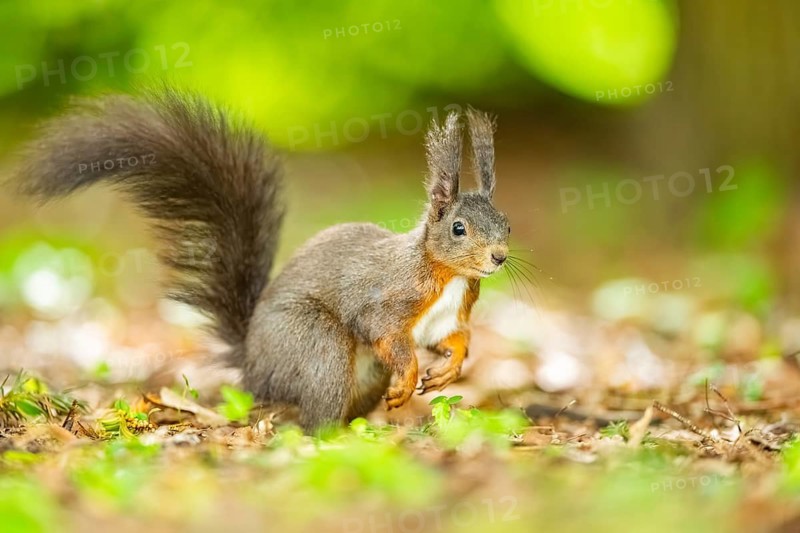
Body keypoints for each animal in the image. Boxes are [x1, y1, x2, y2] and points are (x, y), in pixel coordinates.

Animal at [12, 87, 511, 431]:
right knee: (315, 413)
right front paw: (409, 378)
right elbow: (385, 332)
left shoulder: (445, 319)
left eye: (506, 223)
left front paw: (450, 369)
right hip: (317, 348)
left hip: (362, 375)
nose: (500, 257)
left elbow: (454, 339)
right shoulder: (388, 298)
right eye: (458, 228)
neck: (448, 276)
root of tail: (253, 362)